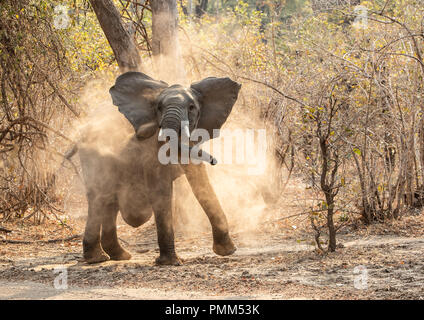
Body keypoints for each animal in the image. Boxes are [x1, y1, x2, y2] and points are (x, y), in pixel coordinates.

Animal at [77, 72, 240, 264]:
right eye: (159, 107)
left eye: (191, 107)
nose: (214, 161)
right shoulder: (151, 143)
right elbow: (161, 188)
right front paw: (171, 263)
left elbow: (200, 180)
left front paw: (227, 251)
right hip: (93, 155)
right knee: (99, 196)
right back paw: (98, 258)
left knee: (109, 199)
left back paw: (119, 256)